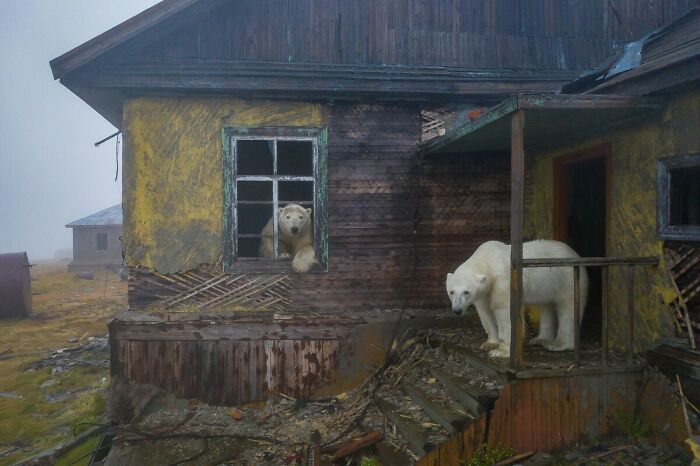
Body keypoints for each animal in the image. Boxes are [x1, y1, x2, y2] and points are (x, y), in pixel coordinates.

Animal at [445, 240, 588, 359]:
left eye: (466, 292)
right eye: (451, 292)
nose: (457, 310)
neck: (487, 261)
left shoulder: (503, 282)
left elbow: (505, 311)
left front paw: (500, 351)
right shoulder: (484, 292)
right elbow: (485, 312)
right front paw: (489, 344)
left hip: (565, 278)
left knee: (568, 308)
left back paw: (558, 344)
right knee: (546, 306)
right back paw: (541, 339)